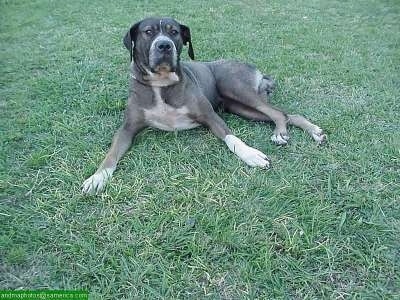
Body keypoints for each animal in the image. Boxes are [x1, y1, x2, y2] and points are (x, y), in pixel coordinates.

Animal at [80, 17, 324, 195]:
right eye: (148, 32)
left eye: (174, 32)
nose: (164, 45)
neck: (161, 84)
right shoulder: (127, 129)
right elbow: (111, 154)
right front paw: (97, 177)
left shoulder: (211, 117)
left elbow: (232, 139)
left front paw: (251, 155)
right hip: (243, 109)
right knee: (288, 114)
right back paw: (310, 132)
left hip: (237, 88)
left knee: (278, 113)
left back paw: (283, 133)